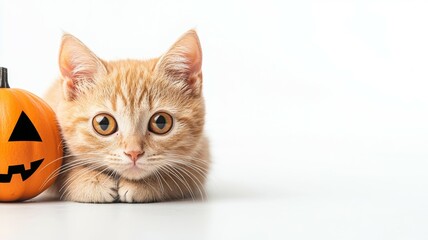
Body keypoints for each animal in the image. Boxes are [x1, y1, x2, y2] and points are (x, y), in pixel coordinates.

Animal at [43, 30, 211, 202]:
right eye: (103, 123)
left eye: (161, 122)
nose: (133, 153)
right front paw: (91, 182)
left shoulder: (202, 155)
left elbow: (181, 178)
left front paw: (144, 185)